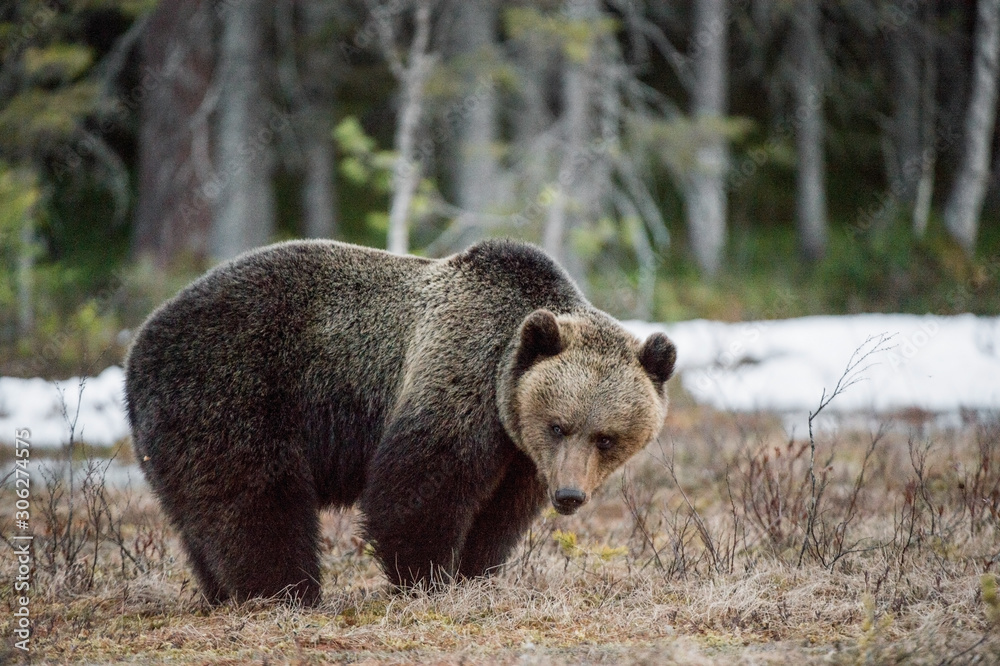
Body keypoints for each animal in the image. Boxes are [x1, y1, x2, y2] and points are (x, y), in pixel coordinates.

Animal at [121, 239, 676, 600]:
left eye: (606, 438)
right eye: (559, 424)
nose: (569, 495)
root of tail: (138, 345)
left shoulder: (520, 454)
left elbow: (499, 514)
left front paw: (477, 572)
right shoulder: (458, 379)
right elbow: (416, 489)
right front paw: (426, 578)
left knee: (199, 516)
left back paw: (222, 591)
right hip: (233, 390)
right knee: (255, 497)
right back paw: (285, 591)